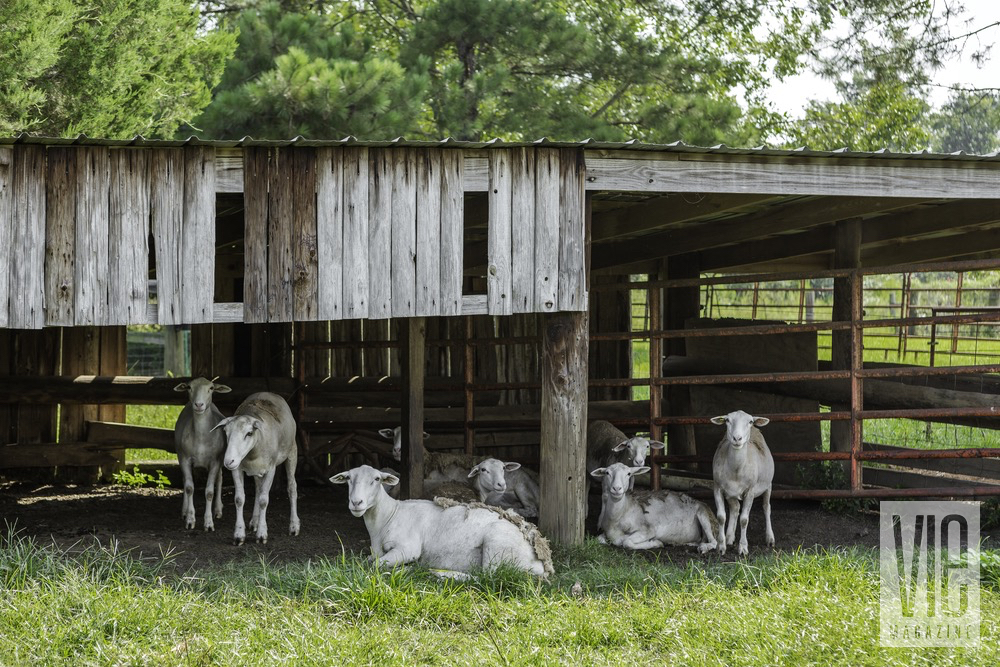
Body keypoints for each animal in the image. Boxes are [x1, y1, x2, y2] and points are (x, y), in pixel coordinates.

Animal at [175, 380, 233, 532]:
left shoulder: (215, 461)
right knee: (185, 481)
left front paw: (208, 523)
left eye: (211, 388)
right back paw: (184, 511)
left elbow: (209, 492)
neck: (201, 436)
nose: (199, 404)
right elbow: (189, 487)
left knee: (219, 479)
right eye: (189, 387)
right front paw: (190, 520)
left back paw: (218, 510)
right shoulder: (184, 459)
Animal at [214, 394, 300, 544]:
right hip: (256, 471)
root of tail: (269, 393)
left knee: (291, 487)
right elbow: (239, 499)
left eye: (249, 433)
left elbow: (264, 500)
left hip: (292, 451)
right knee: (258, 489)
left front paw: (262, 534)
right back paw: (254, 521)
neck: (253, 453)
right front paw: (239, 535)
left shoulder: (271, 469)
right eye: (226, 432)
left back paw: (294, 526)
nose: (229, 461)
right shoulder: (237, 469)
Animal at [334, 464, 556, 580]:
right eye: (348, 479)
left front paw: (405, 568)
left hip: (497, 547)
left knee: (486, 577)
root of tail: (541, 560)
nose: (356, 502)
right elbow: (367, 561)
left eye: (377, 479)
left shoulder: (408, 548)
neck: (388, 517)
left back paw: (437, 573)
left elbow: (376, 565)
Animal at [584, 464, 720, 552]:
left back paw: (703, 547)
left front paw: (656, 543)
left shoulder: (648, 529)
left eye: (629, 473)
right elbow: (599, 539)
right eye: (607, 473)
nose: (617, 488)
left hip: (704, 515)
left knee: (714, 541)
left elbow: (627, 542)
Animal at [708, 408, 776, 560]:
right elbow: (721, 517)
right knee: (735, 508)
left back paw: (770, 538)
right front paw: (721, 547)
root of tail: (757, 429)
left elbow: (744, 519)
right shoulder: (718, 488)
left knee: (766, 507)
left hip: (768, 485)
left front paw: (743, 548)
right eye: (727, 420)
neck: (736, 470)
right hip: (731, 493)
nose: (737, 438)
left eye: (749, 421)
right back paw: (729, 537)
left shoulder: (750, 491)